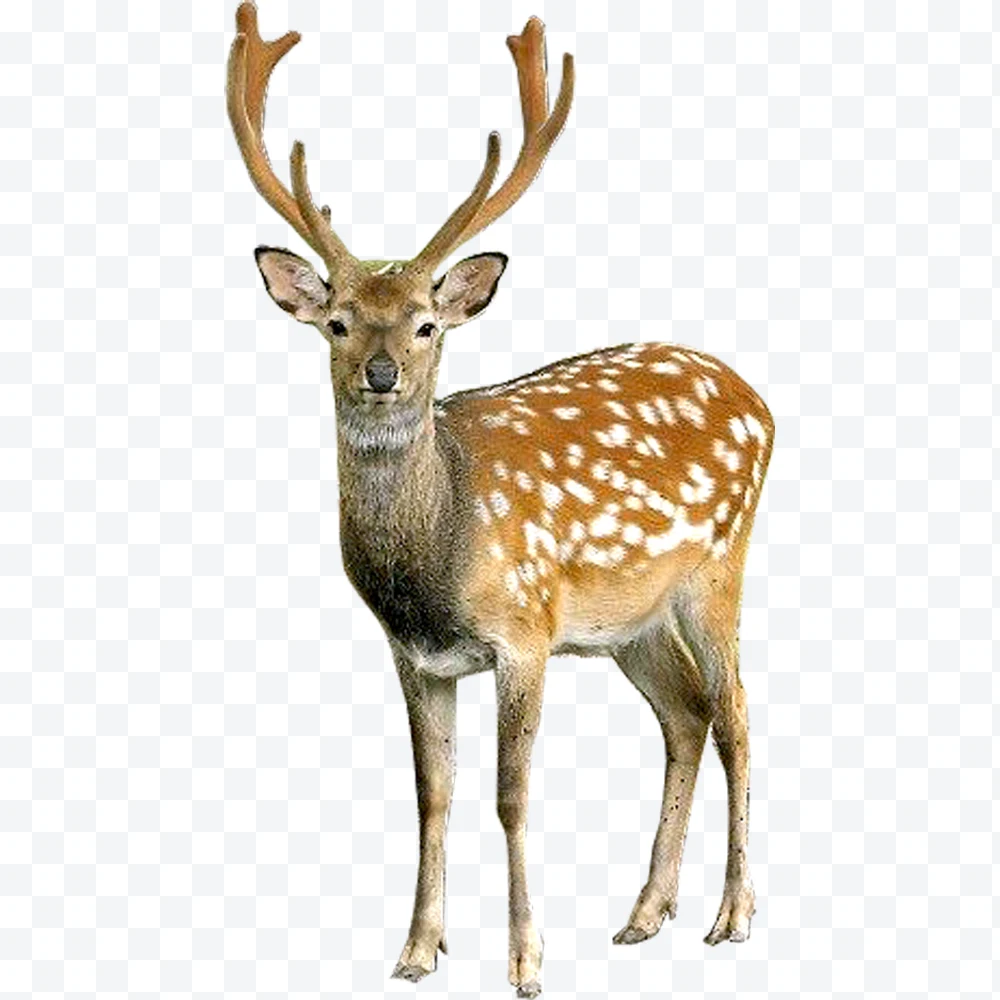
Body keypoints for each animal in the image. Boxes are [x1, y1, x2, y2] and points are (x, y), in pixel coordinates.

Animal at [227, 3, 773, 996]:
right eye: (337, 321)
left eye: (426, 325)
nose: (379, 374)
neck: (435, 559)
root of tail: (761, 401)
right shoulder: (417, 656)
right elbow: (432, 795)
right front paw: (415, 949)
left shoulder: (524, 630)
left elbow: (510, 796)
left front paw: (525, 961)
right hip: (627, 623)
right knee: (686, 714)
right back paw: (644, 914)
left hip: (719, 565)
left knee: (739, 715)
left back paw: (731, 916)